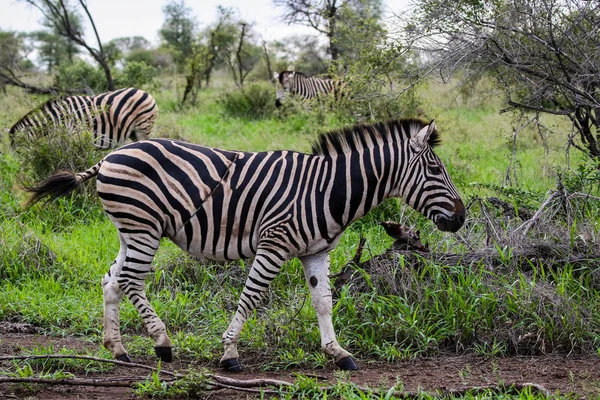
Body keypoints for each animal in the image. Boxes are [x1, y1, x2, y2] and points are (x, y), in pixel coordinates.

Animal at [9, 88, 158, 150]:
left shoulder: (73, 137)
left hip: (143, 127)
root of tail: (144, 92)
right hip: (133, 132)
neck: (59, 118)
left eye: (19, 149)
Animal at [25, 118, 466, 372]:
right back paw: (163, 344)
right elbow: (251, 297)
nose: (461, 217)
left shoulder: (316, 251)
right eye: (435, 169)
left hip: (130, 230)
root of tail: (112, 155)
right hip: (144, 228)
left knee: (111, 280)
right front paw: (230, 353)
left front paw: (337, 352)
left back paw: (117, 349)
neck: (328, 190)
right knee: (132, 281)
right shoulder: (274, 243)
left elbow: (324, 301)